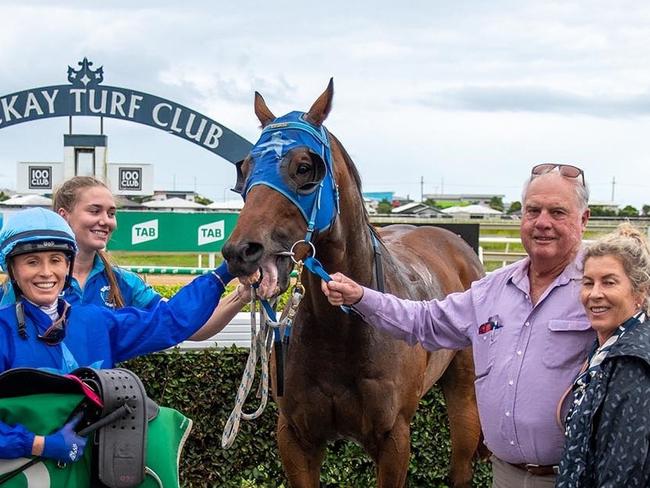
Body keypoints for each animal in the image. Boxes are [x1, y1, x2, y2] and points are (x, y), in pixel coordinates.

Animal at [221, 81, 480, 488]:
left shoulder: (394, 440)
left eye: (305, 167)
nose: (240, 252)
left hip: (465, 395)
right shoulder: (295, 437)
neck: (341, 332)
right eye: (244, 169)